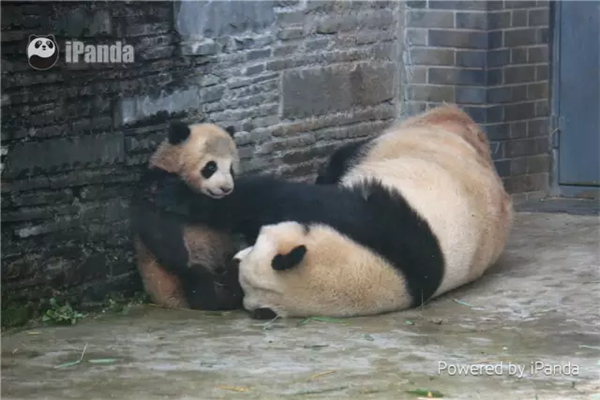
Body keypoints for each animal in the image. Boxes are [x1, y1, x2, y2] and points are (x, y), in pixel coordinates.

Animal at [131, 121, 244, 310]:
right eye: (211, 166)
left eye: (231, 169)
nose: (226, 189)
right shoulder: (155, 185)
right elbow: (161, 231)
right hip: (168, 281)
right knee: (198, 279)